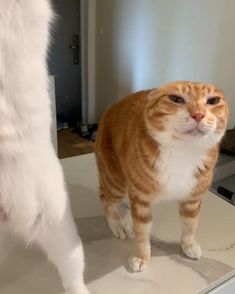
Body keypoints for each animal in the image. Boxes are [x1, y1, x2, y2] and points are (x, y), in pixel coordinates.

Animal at [94, 80, 229, 272]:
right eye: (175, 98)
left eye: (213, 100)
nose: (198, 114)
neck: (183, 152)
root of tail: (112, 107)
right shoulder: (141, 201)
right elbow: (142, 233)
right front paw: (141, 256)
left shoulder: (193, 199)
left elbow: (190, 225)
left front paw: (189, 245)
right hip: (115, 180)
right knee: (105, 198)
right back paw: (117, 223)